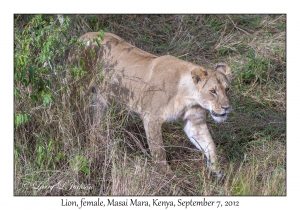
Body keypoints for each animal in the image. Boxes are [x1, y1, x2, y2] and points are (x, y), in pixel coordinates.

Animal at [68, 32, 232, 178]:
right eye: (213, 91)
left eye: (227, 89)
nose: (226, 107)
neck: (189, 97)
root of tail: (83, 36)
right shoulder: (151, 118)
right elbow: (159, 151)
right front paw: (167, 176)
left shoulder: (195, 122)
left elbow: (210, 145)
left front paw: (216, 170)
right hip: (77, 88)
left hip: (102, 100)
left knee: (97, 123)